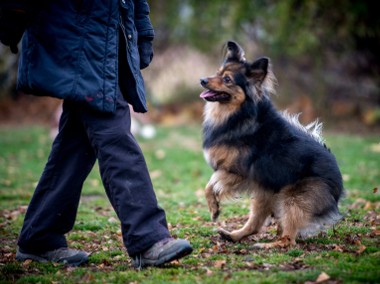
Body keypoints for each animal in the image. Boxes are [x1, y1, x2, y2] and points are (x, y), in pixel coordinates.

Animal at [199, 40, 344, 248]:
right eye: (217, 73)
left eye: (227, 79)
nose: (202, 80)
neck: (239, 115)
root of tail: (338, 188)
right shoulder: (231, 171)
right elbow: (209, 185)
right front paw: (214, 209)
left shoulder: (237, 172)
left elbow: (213, 184)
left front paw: (214, 206)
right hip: (265, 193)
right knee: (255, 224)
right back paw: (233, 235)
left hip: (293, 199)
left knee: (288, 239)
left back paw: (267, 245)